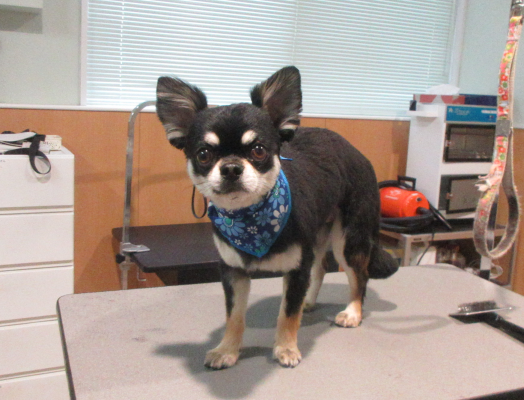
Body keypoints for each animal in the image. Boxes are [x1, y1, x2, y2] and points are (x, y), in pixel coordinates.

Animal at [156, 66, 398, 369]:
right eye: (203, 154)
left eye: (258, 150)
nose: (231, 168)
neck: (250, 219)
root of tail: (357, 153)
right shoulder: (233, 272)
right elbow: (234, 317)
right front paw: (227, 350)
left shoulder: (296, 269)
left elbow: (287, 314)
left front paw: (286, 348)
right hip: (319, 234)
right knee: (320, 267)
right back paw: (309, 301)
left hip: (349, 239)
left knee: (359, 275)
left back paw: (353, 312)